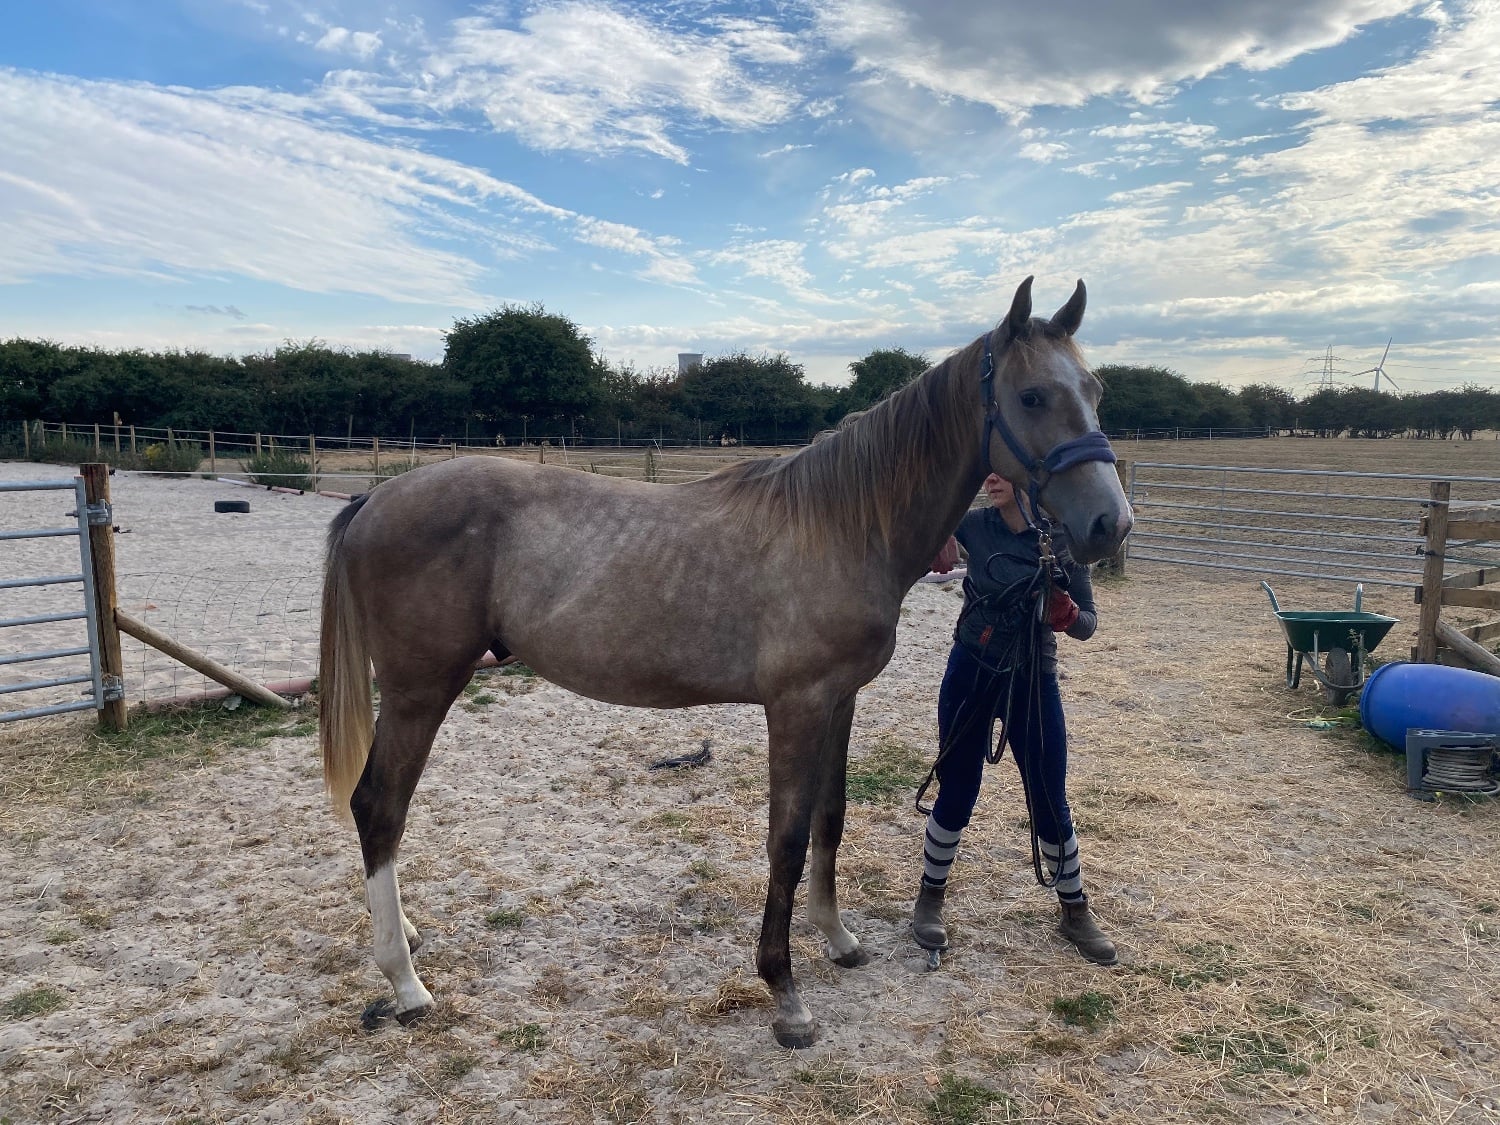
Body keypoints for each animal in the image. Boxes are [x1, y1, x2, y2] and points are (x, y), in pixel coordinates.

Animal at [318, 276, 1133, 1048]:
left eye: (1095, 391)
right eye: (1032, 395)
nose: (1109, 523)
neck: (840, 527)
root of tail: (374, 500)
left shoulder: (840, 700)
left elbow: (831, 817)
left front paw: (837, 938)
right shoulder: (796, 706)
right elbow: (787, 839)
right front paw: (785, 992)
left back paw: (406, 934)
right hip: (421, 690)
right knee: (380, 807)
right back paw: (405, 981)